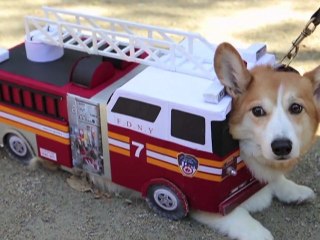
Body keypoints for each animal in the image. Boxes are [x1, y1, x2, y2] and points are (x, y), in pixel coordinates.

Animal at [191, 43, 318, 240]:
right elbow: (235, 214)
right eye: (257, 111)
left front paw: (294, 191)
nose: (282, 147)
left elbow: (277, 180)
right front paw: (258, 232)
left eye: (296, 108)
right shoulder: (207, 199)